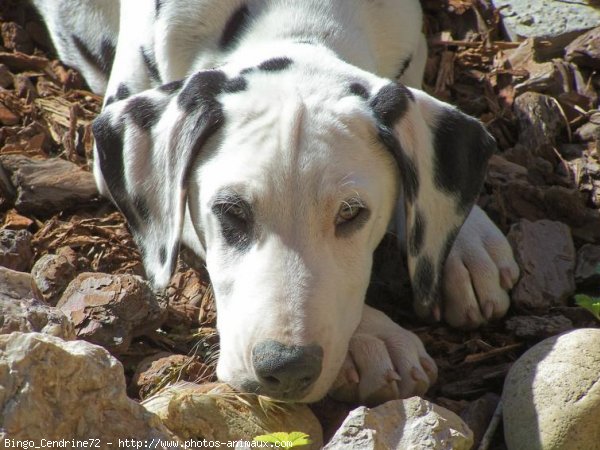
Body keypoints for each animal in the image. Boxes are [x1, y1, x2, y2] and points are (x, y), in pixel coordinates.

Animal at [34, 0, 520, 402]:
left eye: (351, 213)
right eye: (231, 211)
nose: (286, 368)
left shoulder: (412, 48)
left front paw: (465, 243)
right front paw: (372, 337)